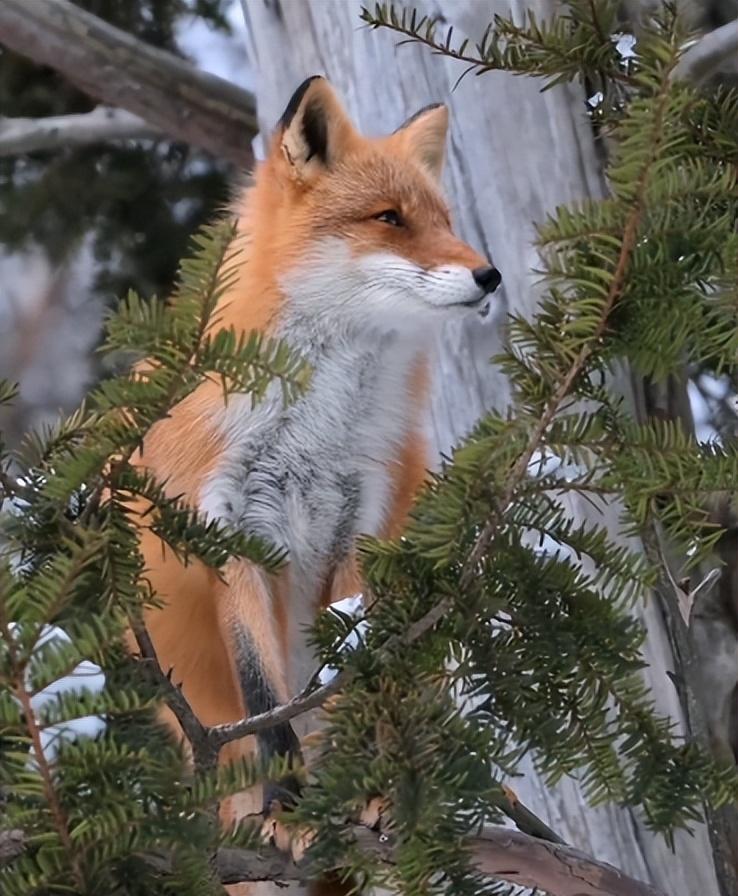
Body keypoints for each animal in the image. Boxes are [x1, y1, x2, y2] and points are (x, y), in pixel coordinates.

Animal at [131, 75, 500, 888]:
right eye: (389, 219)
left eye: (445, 220)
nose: (490, 273)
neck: (316, 426)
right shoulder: (227, 528)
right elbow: (265, 695)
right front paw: (290, 810)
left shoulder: (362, 524)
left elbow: (354, 674)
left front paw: (362, 795)